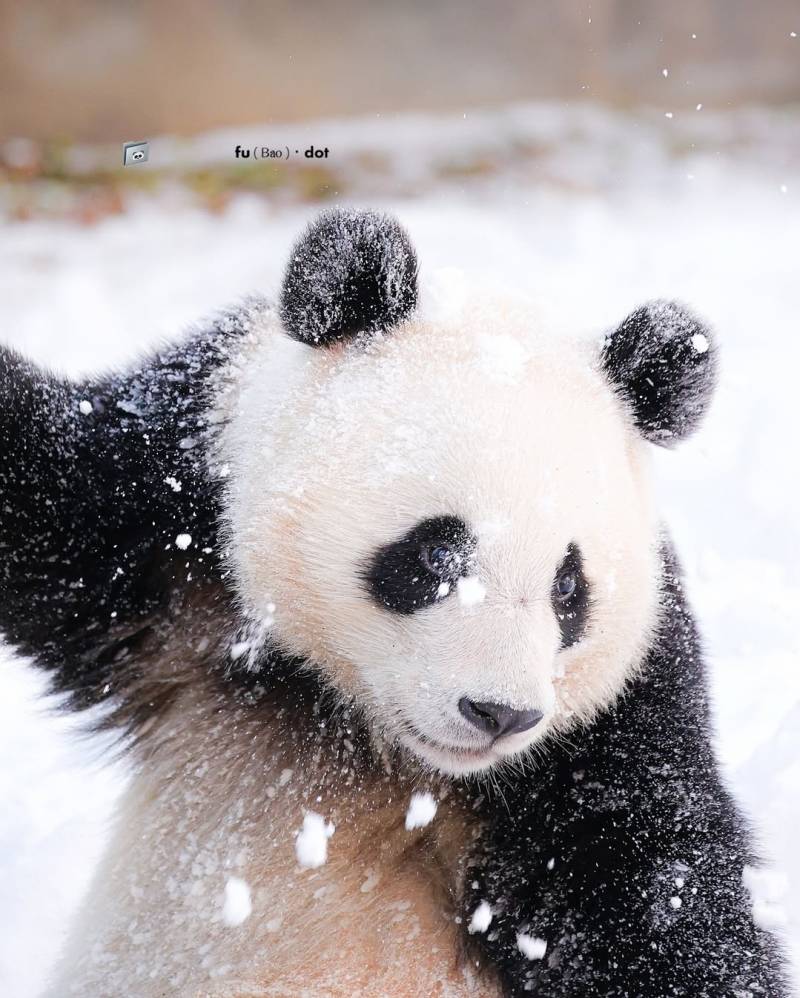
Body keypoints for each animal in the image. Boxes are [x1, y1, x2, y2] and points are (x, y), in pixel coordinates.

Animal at [0, 207, 788, 996]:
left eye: (569, 586)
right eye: (438, 552)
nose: (499, 714)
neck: (372, 738)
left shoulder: (607, 722)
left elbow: (651, 889)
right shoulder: (173, 517)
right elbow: (48, 501)